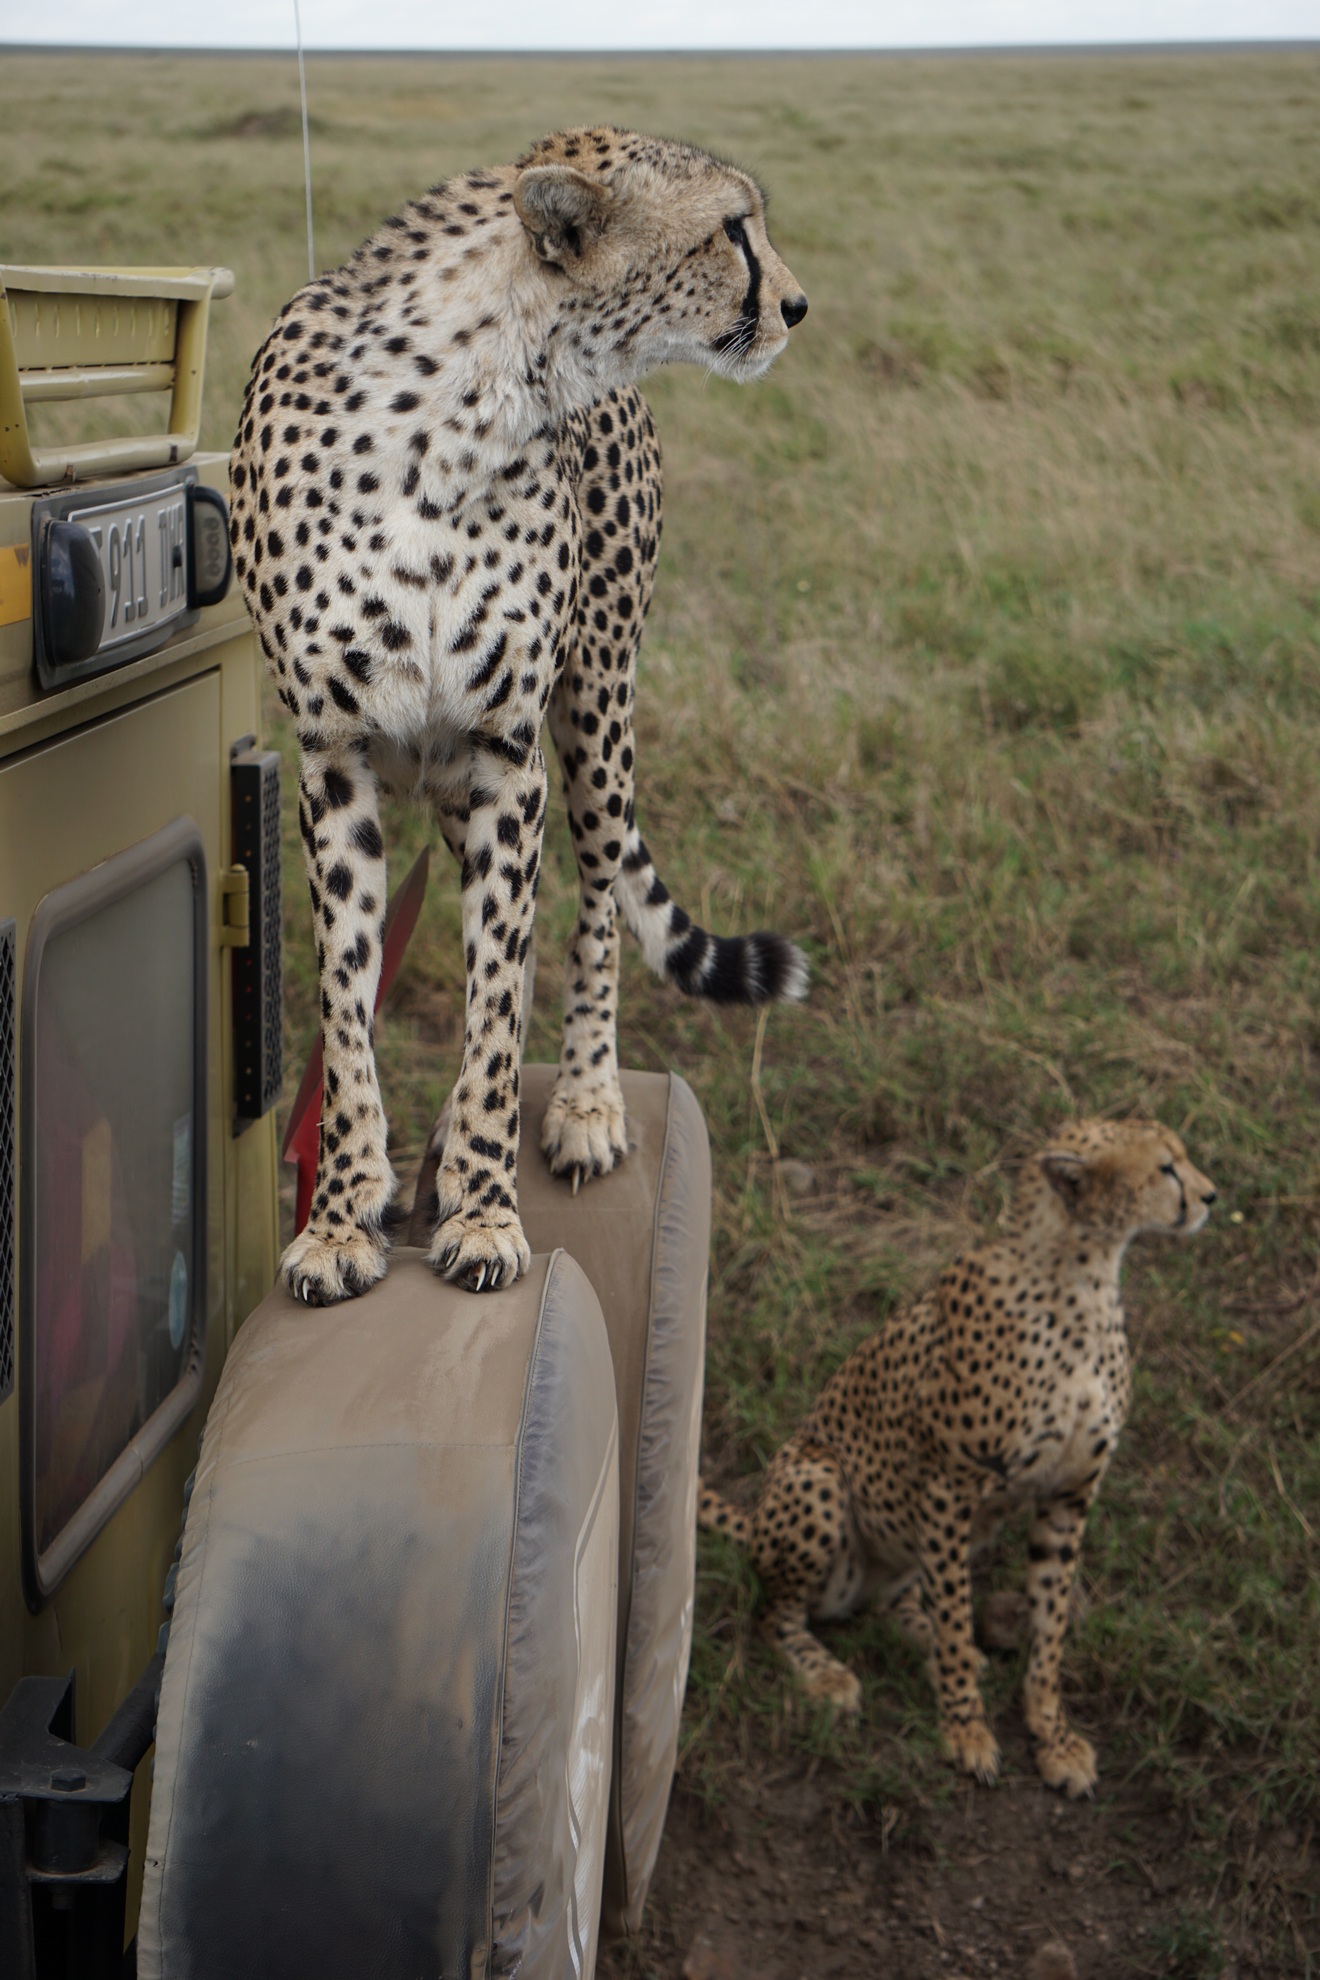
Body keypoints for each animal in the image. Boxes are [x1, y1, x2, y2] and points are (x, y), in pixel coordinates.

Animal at [228, 127, 811, 1304]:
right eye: (734, 227)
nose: (799, 304)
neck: (461, 411)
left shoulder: (508, 757)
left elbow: (496, 1003)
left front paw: (491, 1215)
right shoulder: (336, 760)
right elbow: (348, 1005)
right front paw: (341, 1218)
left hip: (592, 710)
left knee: (589, 909)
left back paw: (577, 1104)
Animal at [699, 1119, 1216, 1797]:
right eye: (1165, 1168)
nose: (1210, 1196)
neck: (1084, 1280)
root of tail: (756, 1519)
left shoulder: (1069, 1495)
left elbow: (1047, 1627)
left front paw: (1052, 1738)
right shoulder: (950, 1486)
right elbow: (953, 1606)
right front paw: (966, 1730)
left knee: (897, 1603)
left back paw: (948, 1641)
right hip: (816, 1473)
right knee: (776, 1613)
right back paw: (826, 1673)